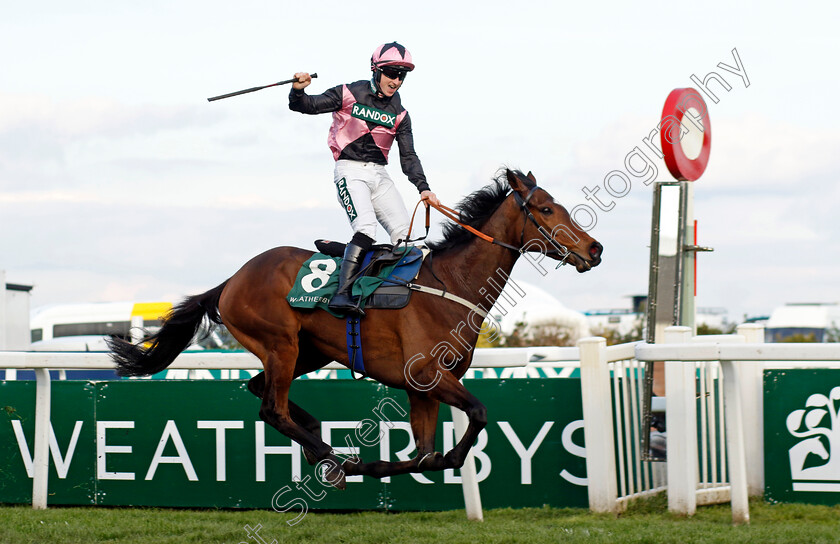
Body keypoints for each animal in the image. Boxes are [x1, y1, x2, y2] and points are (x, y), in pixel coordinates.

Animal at [108, 169, 604, 488]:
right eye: (546, 208)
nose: (595, 249)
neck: (449, 285)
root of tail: (231, 280)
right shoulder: (427, 374)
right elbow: (476, 417)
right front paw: (382, 463)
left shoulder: (423, 388)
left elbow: (425, 455)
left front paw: (387, 465)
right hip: (281, 344)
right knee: (272, 409)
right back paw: (333, 459)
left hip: (309, 351)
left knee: (259, 389)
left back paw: (320, 444)